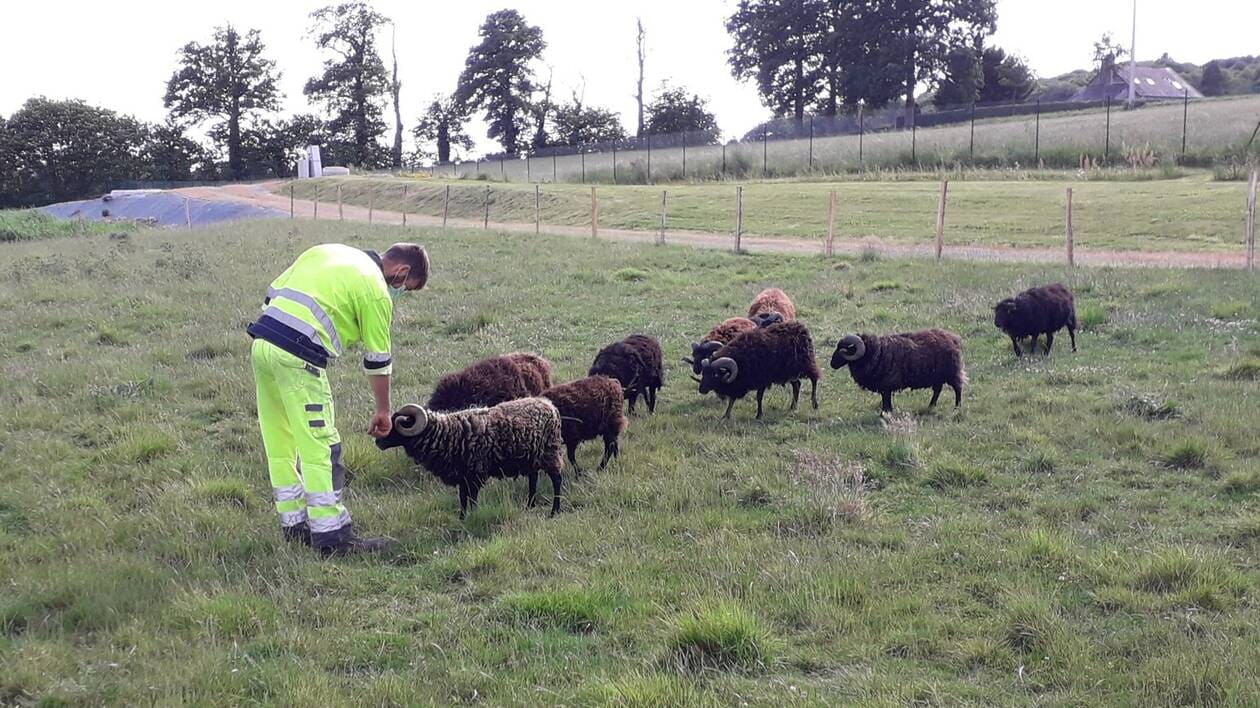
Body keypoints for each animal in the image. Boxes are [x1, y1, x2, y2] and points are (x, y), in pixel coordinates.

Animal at [831, 327, 967, 410]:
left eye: (843, 349)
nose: (832, 364)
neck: (874, 352)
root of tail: (954, 339)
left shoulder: (887, 386)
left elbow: (886, 401)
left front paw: (885, 414)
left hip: (952, 372)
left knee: (958, 388)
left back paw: (957, 407)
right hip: (937, 376)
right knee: (938, 390)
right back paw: (931, 406)